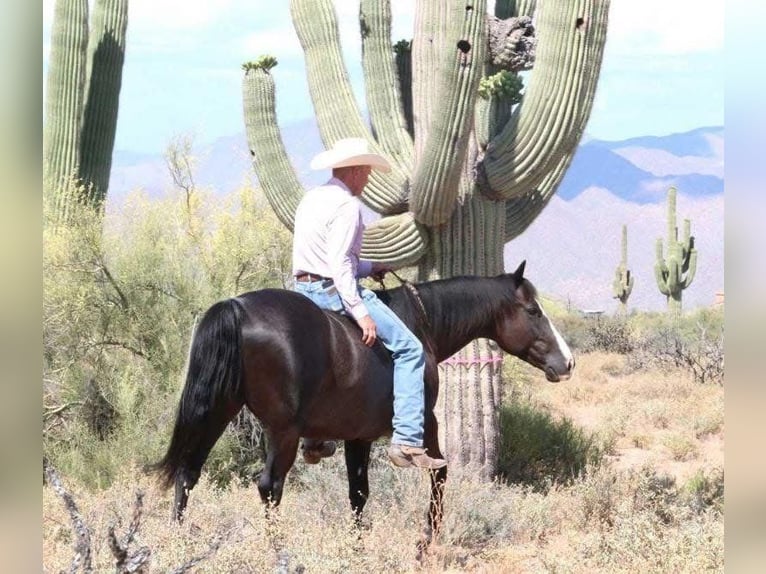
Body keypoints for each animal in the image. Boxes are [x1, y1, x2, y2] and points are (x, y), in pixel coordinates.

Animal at [152, 261, 574, 545]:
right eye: (533, 311)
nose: (567, 361)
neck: (422, 325)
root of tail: (237, 307)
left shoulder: (357, 437)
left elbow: (358, 494)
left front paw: (358, 544)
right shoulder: (426, 423)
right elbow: (439, 474)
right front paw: (428, 537)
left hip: (218, 411)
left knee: (188, 472)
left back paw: (177, 537)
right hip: (281, 432)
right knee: (269, 486)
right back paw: (277, 546)